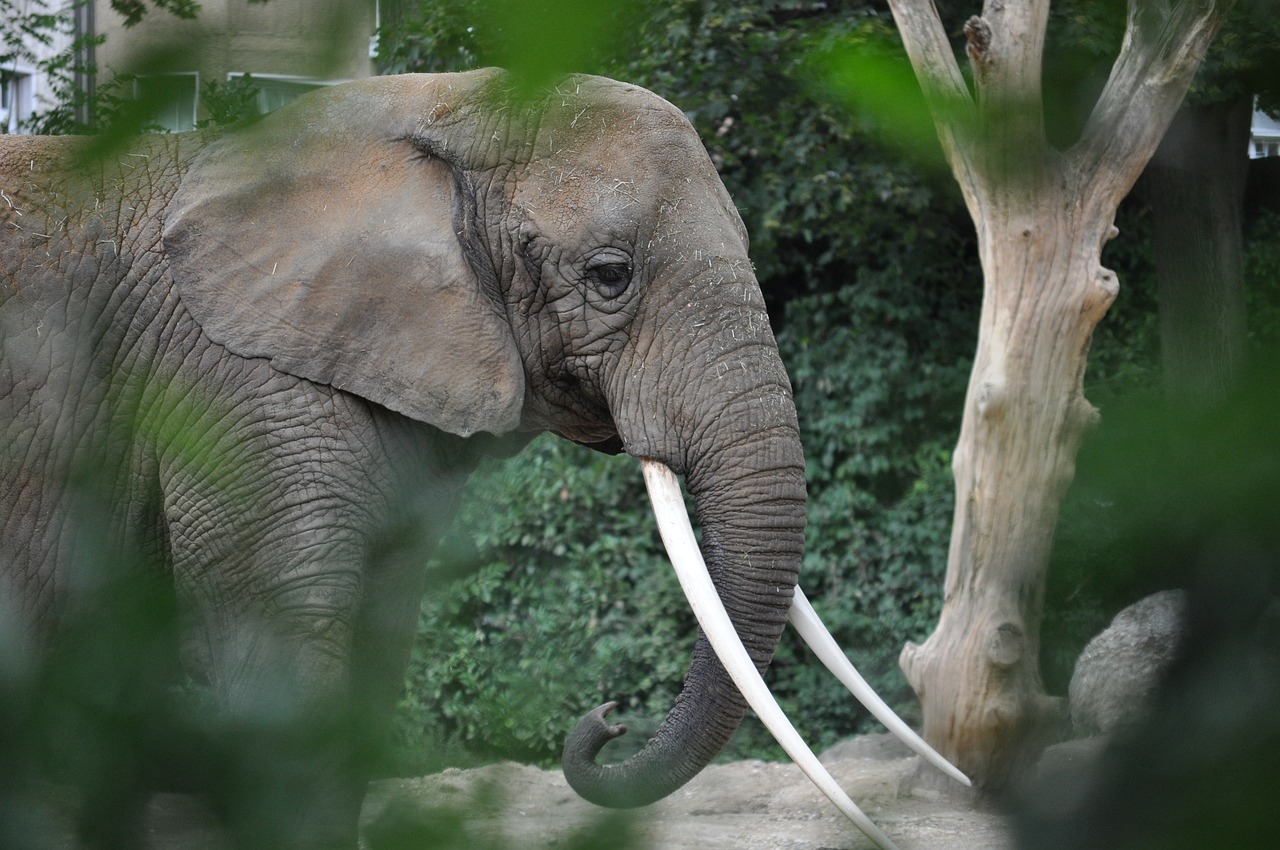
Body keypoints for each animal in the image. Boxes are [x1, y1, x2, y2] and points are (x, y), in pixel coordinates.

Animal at [0, 68, 962, 850]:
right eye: (609, 274)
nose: (606, 717)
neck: (434, 107)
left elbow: (373, 654)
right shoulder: (230, 383)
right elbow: (275, 657)